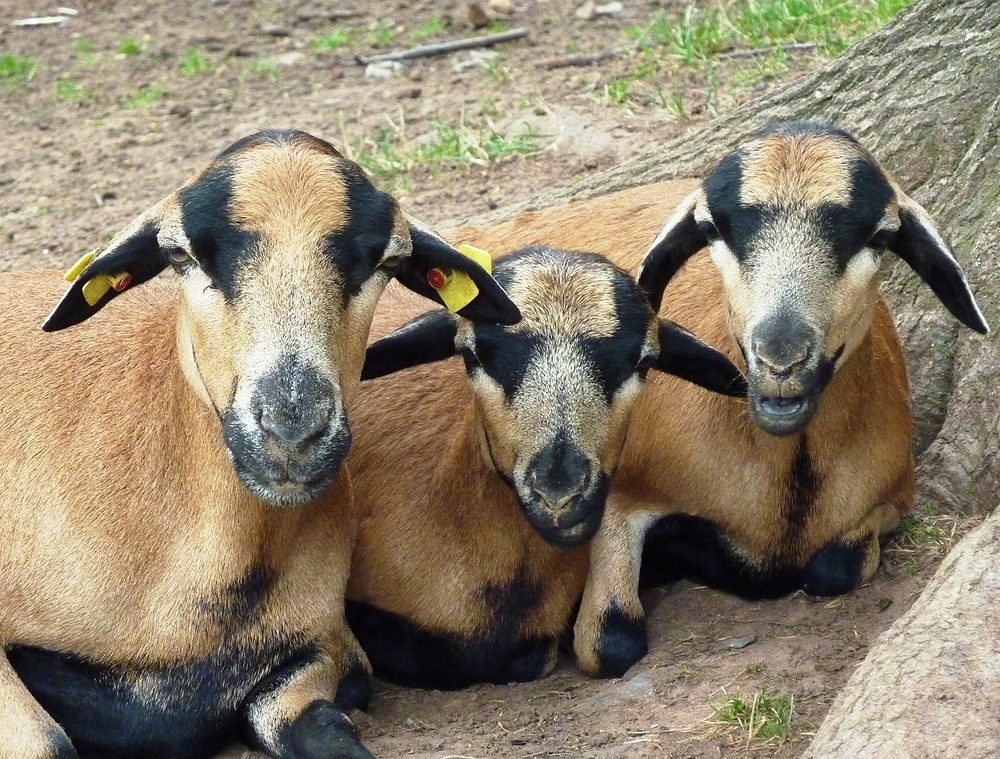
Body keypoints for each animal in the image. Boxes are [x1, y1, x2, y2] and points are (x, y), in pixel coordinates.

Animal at [450, 120, 988, 676]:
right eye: (711, 229)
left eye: (880, 236)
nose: (780, 358)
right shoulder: (615, 503)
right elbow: (609, 642)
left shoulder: (895, 498)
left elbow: (833, 566)